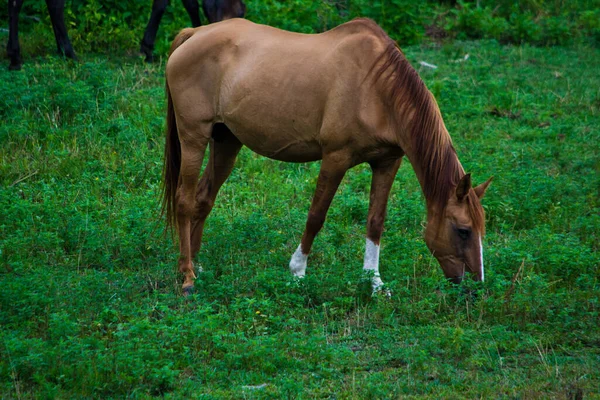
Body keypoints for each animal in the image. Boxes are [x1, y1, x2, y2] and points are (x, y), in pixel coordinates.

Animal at [161, 18, 492, 294]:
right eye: (463, 231)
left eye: (481, 229)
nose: (475, 286)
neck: (376, 89)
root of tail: (194, 33)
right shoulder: (335, 158)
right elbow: (316, 216)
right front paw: (297, 271)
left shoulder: (387, 162)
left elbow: (375, 221)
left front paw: (374, 283)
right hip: (194, 138)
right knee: (184, 201)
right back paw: (187, 276)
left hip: (226, 142)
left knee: (203, 198)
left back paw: (195, 263)